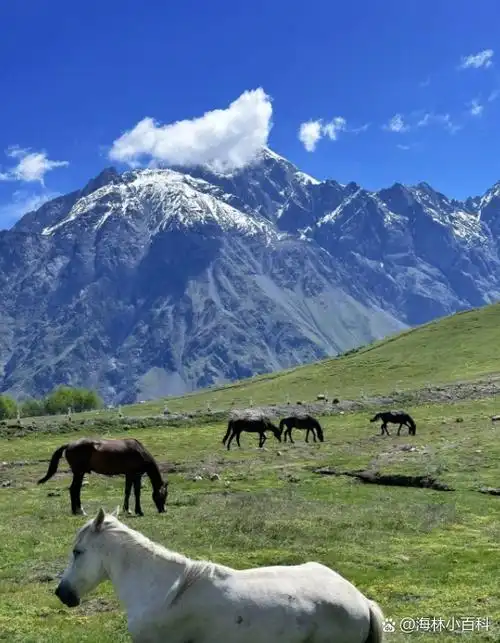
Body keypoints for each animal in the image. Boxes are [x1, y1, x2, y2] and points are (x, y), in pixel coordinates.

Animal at [37, 437, 168, 516]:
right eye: (164, 495)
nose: (163, 510)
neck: (139, 451)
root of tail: (69, 444)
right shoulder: (132, 474)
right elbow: (131, 492)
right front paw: (134, 511)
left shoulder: (135, 476)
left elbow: (133, 492)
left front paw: (133, 510)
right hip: (79, 472)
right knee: (74, 489)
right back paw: (79, 511)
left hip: (80, 473)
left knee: (75, 489)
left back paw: (78, 510)